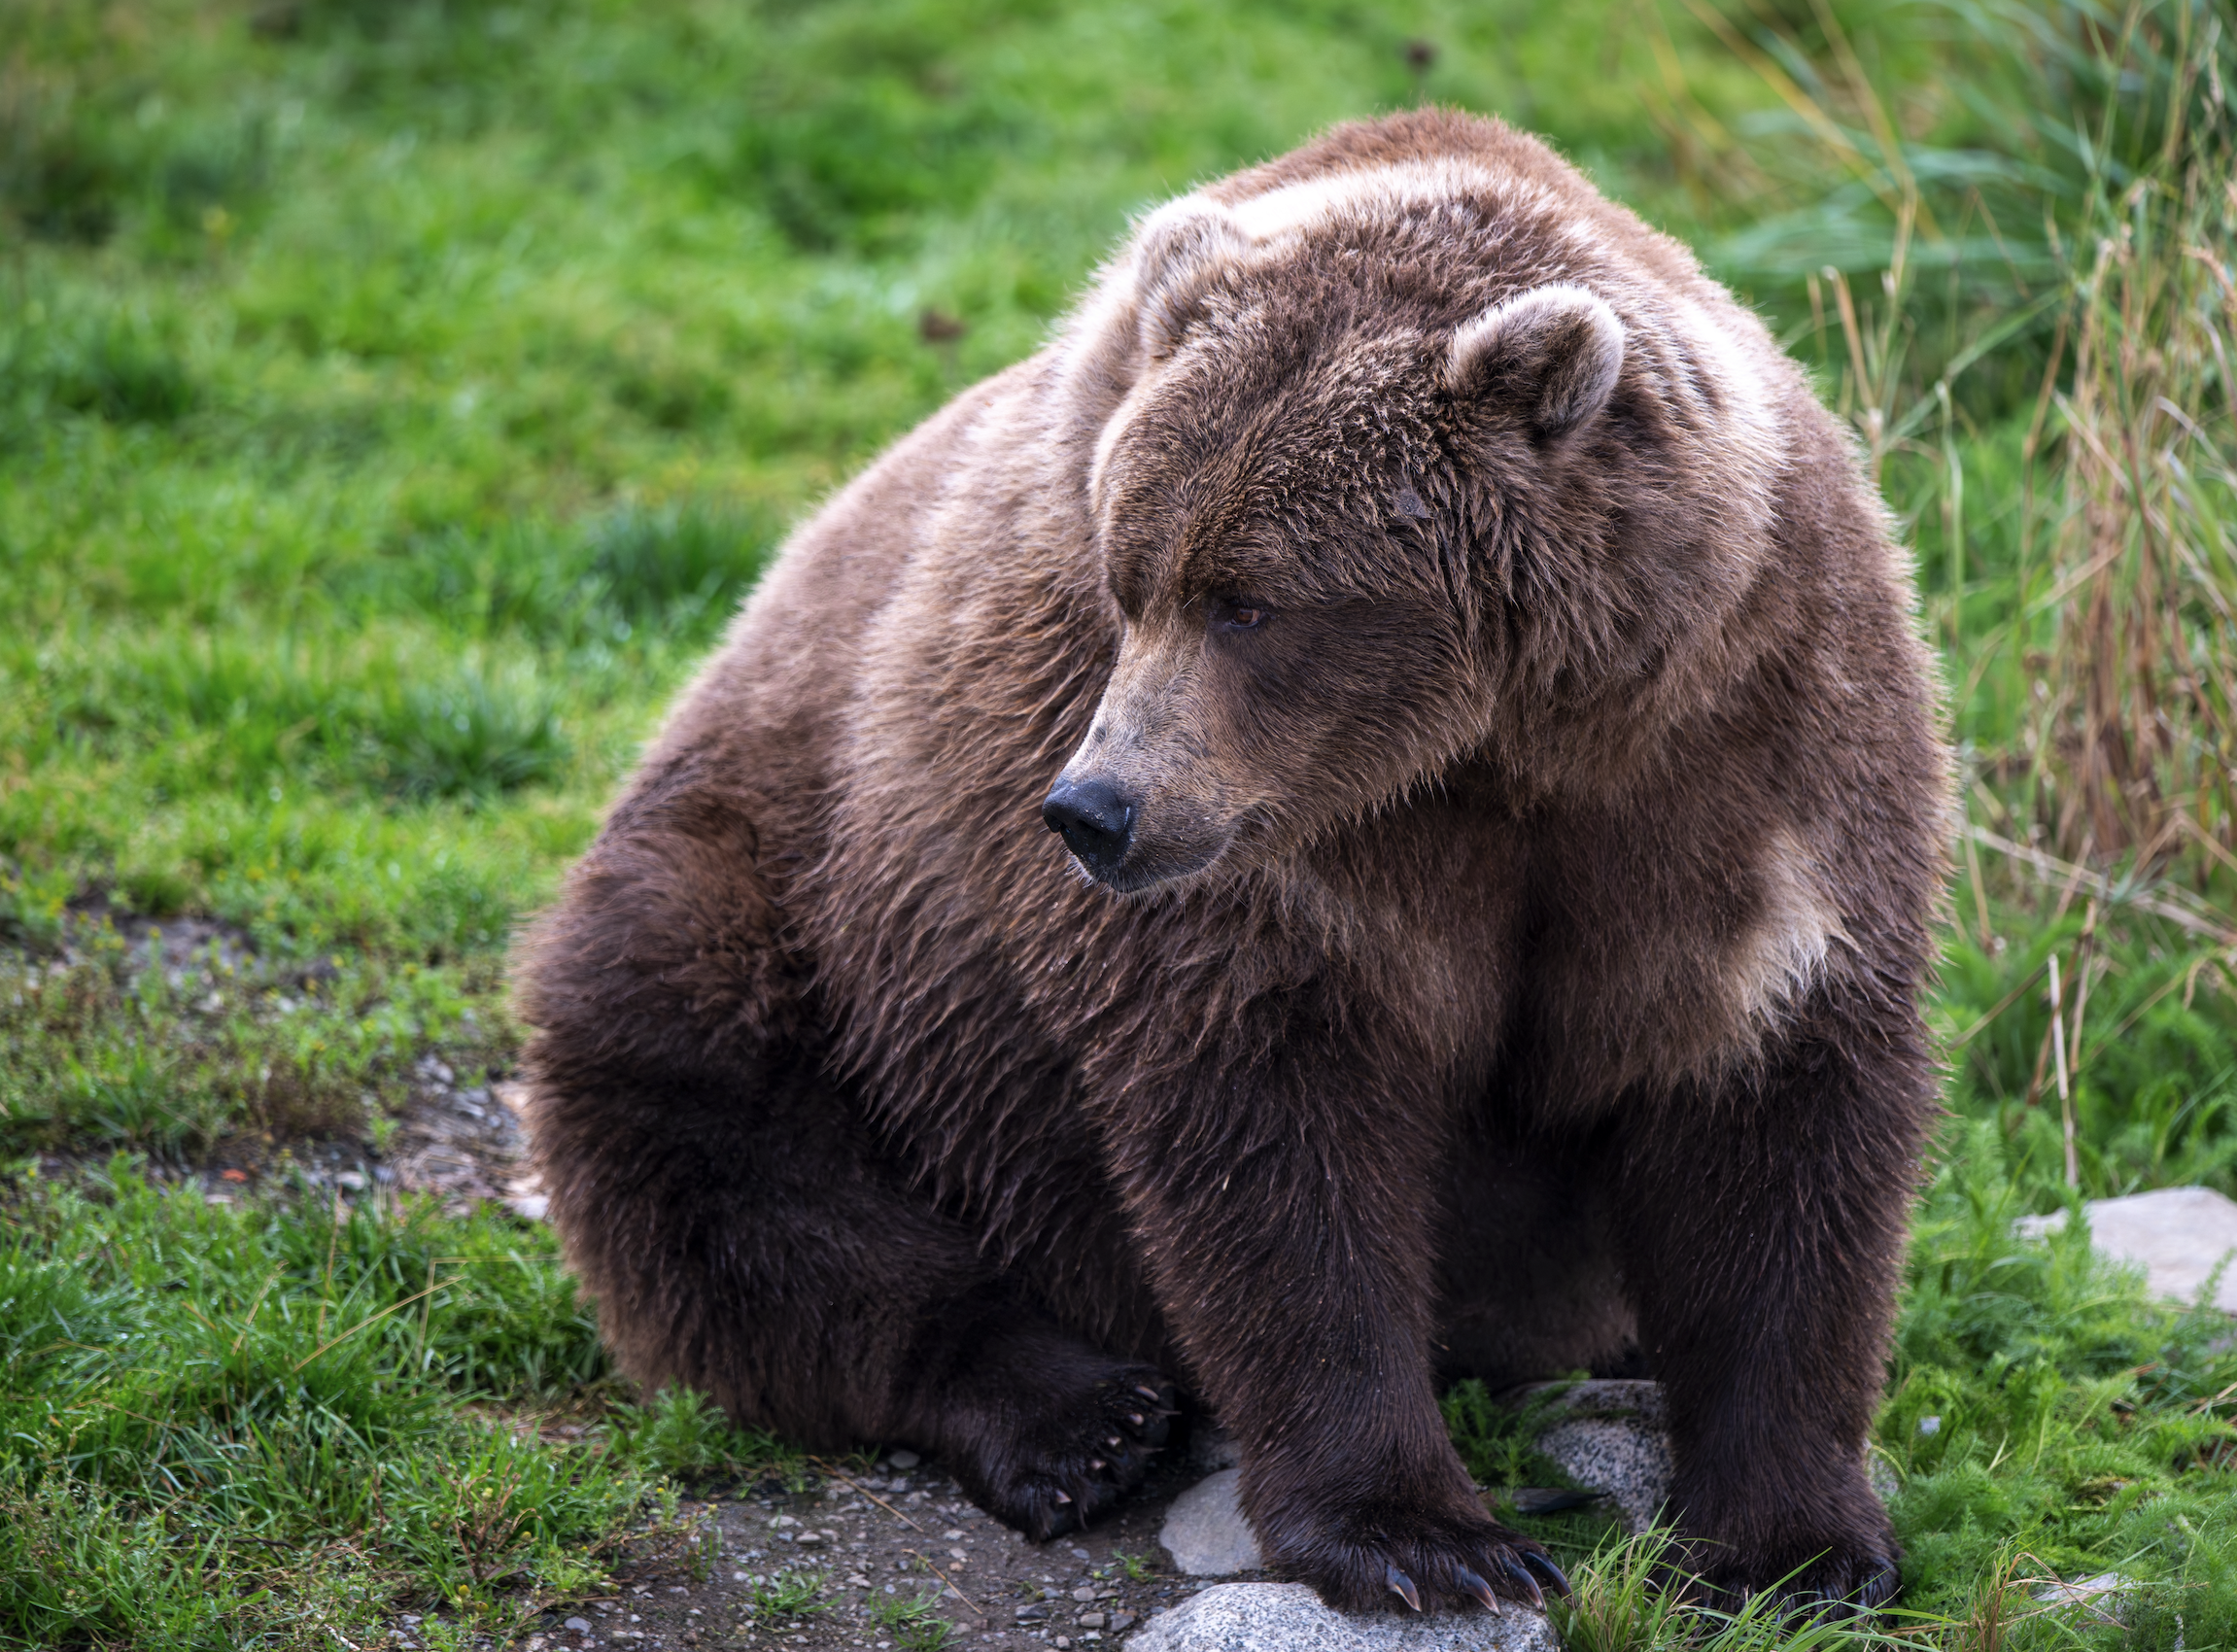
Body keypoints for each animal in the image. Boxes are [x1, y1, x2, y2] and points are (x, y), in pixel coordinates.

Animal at [516, 108, 1947, 1618]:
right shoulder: (1267, 860)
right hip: (783, 889)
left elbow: (1774, 1121)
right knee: (714, 1131)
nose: (1092, 809)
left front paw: (1794, 1543)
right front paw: (1424, 1535)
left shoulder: (1741, 755)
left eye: (1250, 602)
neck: (1495, 749)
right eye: (1128, 574)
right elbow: (1268, 1135)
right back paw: (1077, 1418)